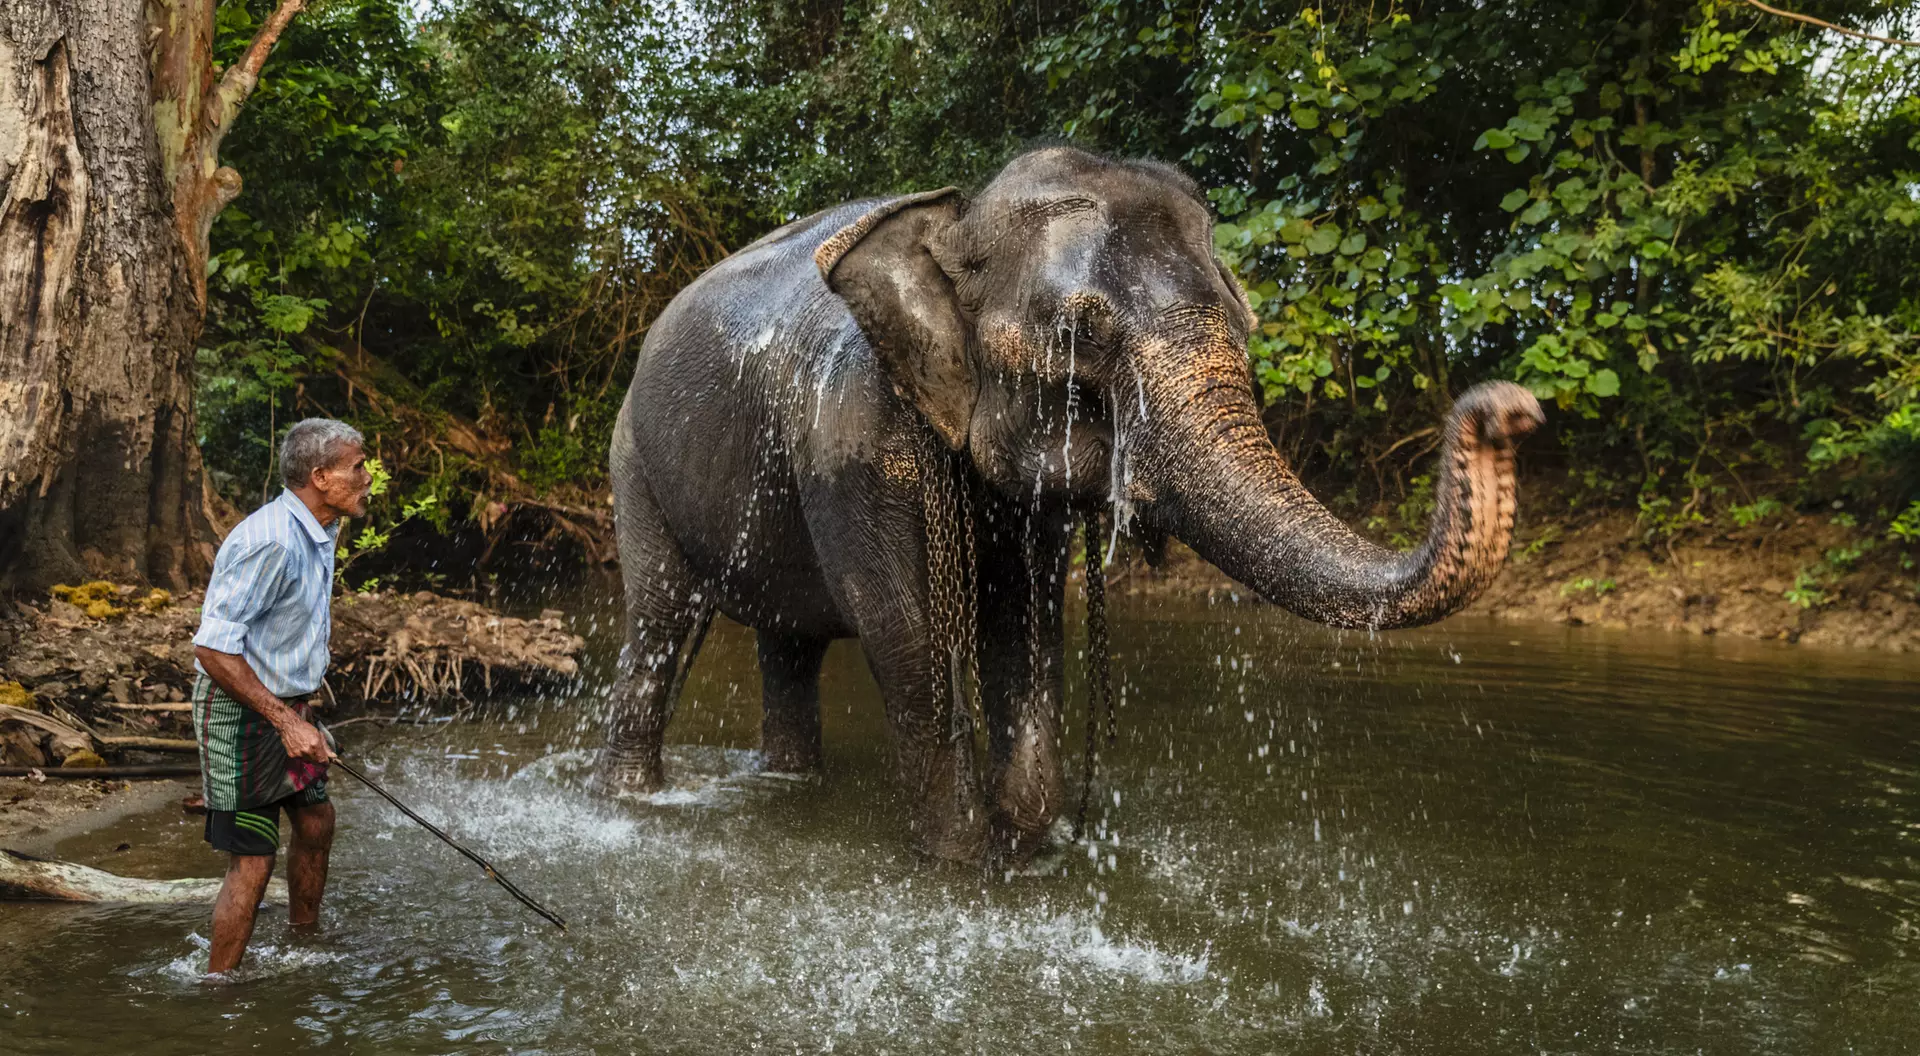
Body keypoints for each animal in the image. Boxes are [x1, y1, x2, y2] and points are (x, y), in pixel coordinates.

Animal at [601, 145, 1543, 863]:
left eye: (1243, 323)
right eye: (1079, 336)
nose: (1511, 409)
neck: (956, 216)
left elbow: (1026, 623)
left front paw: (1024, 840)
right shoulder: (857, 438)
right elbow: (909, 636)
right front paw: (960, 864)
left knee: (787, 645)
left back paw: (786, 783)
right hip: (633, 461)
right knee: (662, 621)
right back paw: (631, 799)